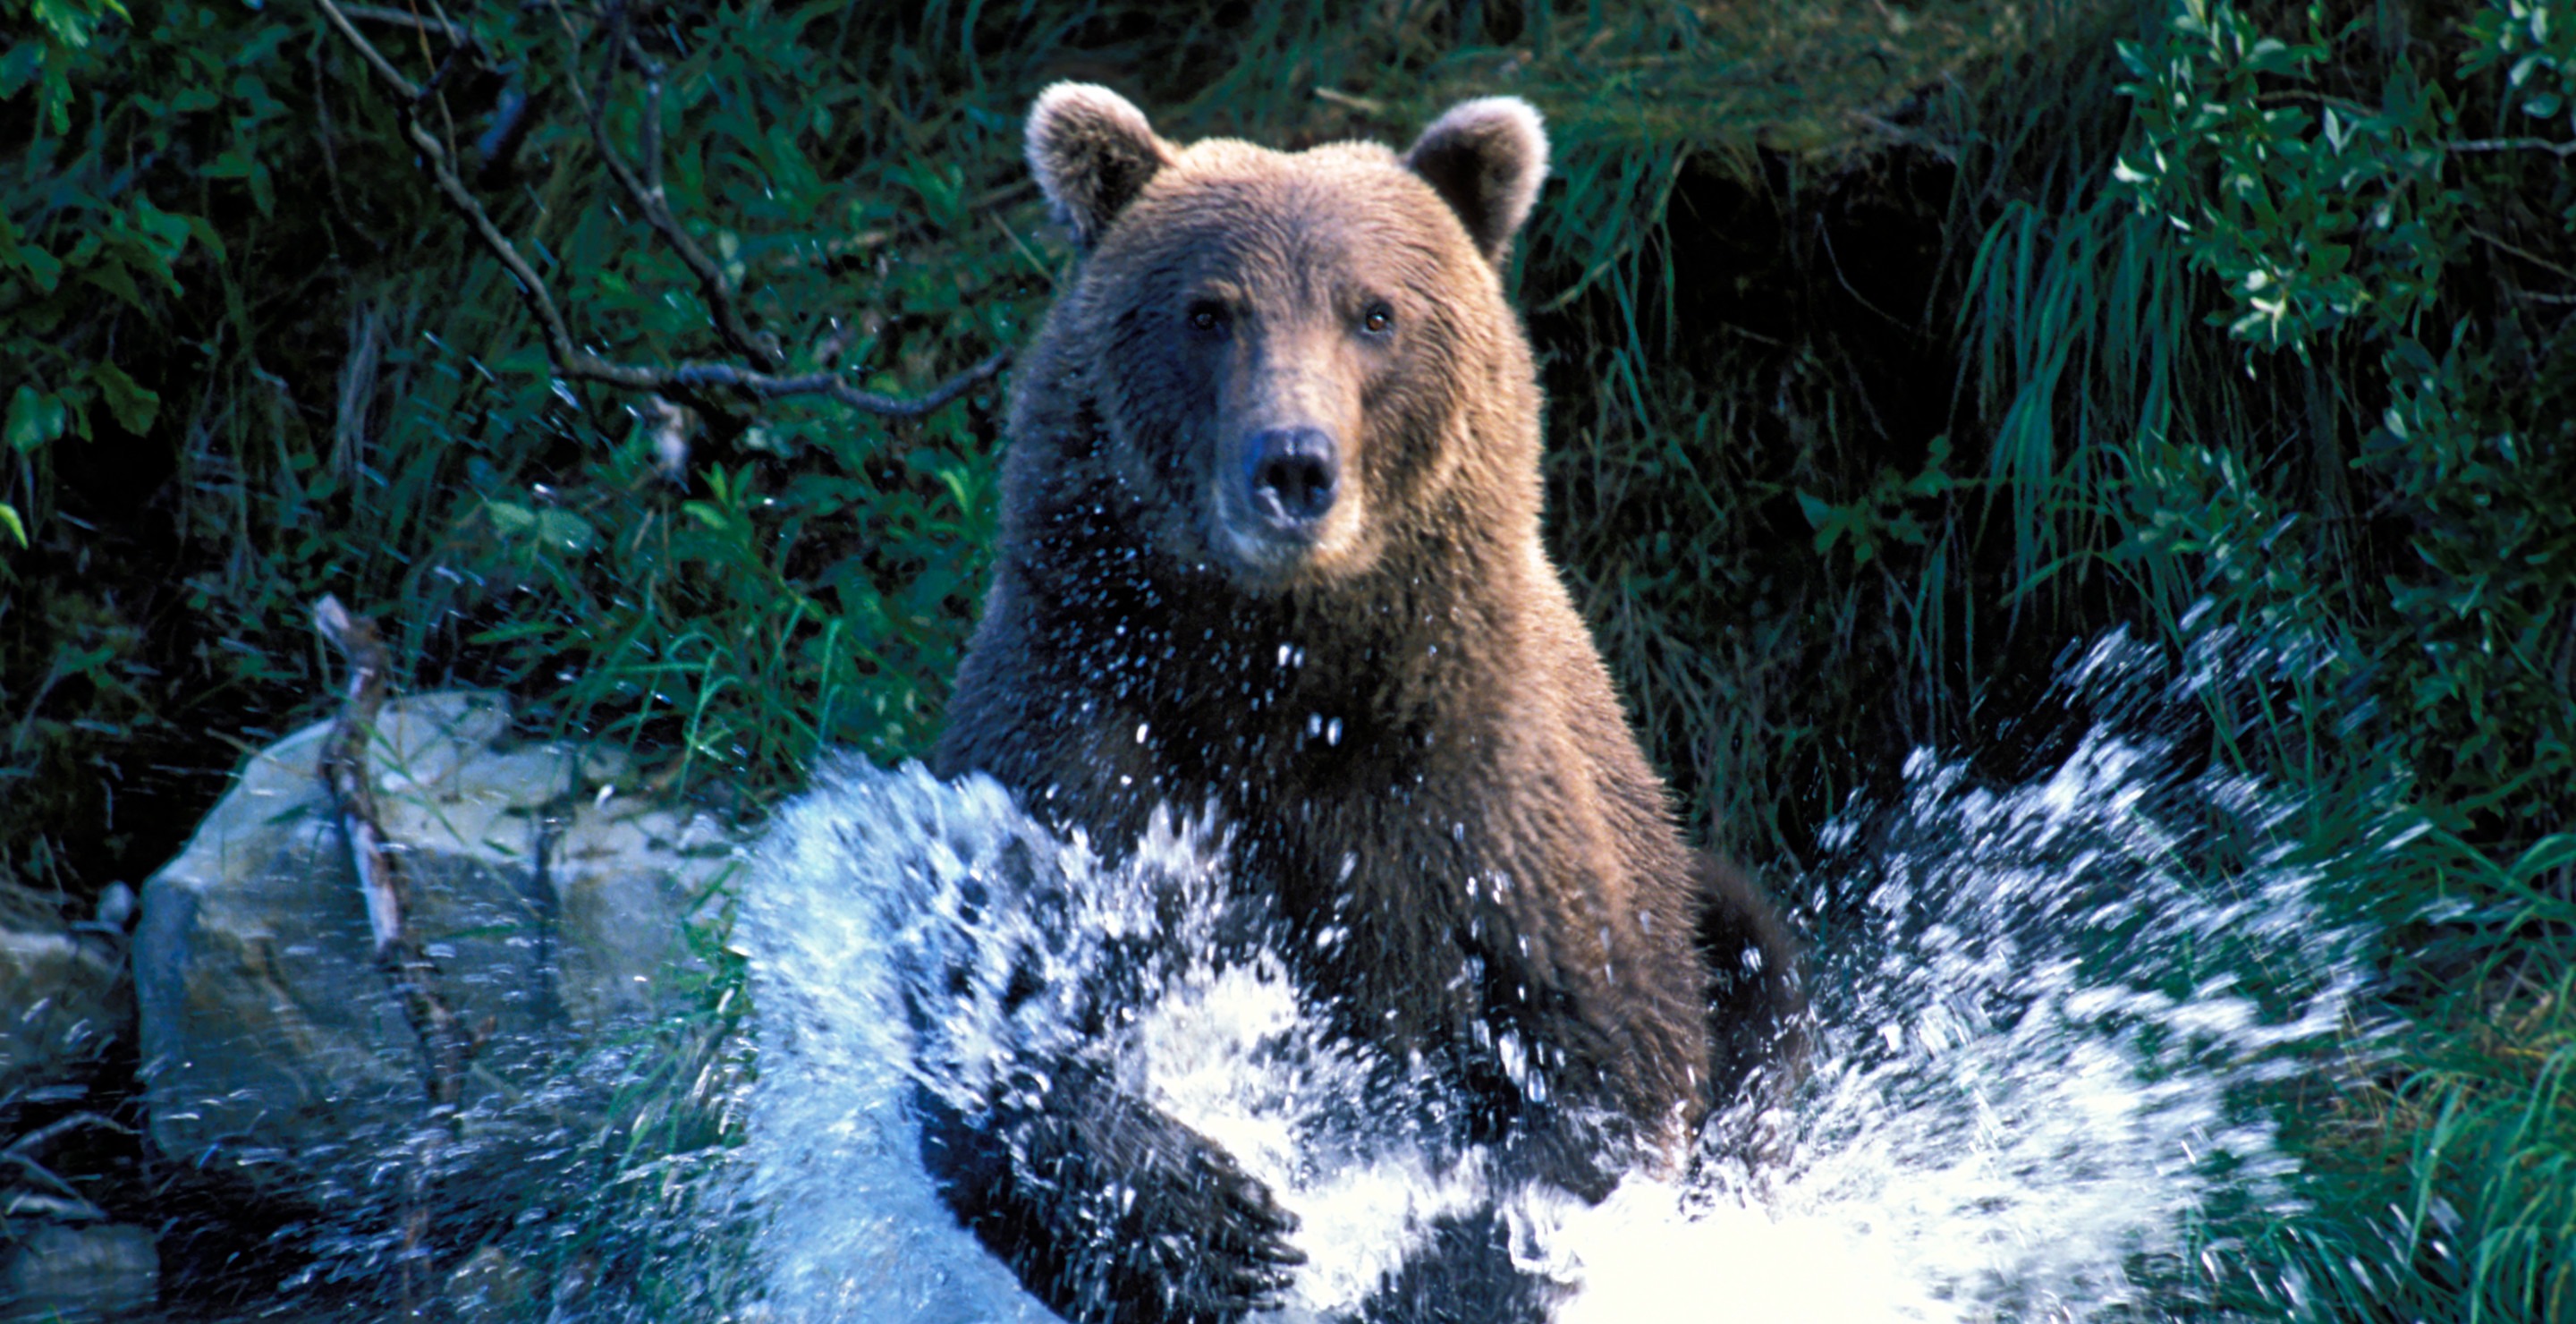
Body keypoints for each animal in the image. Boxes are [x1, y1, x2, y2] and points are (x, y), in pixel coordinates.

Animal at [917, 85, 1803, 1319]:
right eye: (1208, 310)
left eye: (1374, 313)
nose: (1293, 464)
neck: (1285, 671)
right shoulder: (1082, 730)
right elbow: (989, 1022)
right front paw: (1203, 1215)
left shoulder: (1483, 802)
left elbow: (1592, 1086)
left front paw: (1418, 1268)